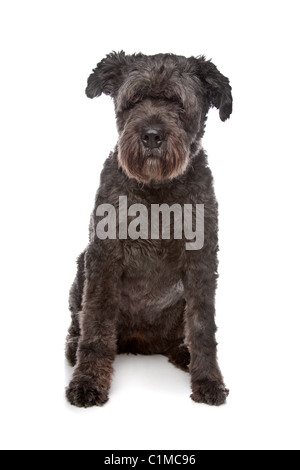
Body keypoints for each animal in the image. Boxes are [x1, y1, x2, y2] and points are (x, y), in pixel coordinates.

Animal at [65, 52, 233, 408]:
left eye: (178, 103)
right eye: (134, 100)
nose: (152, 135)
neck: (157, 192)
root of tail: (141, 344)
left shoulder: (201, 264)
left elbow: (202, 326)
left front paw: (209, 380)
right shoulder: (103, 259)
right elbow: (95, 325)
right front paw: (88, 381)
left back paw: (183, 352)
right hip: (81, 268)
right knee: (79, 322)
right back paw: (74, 348)